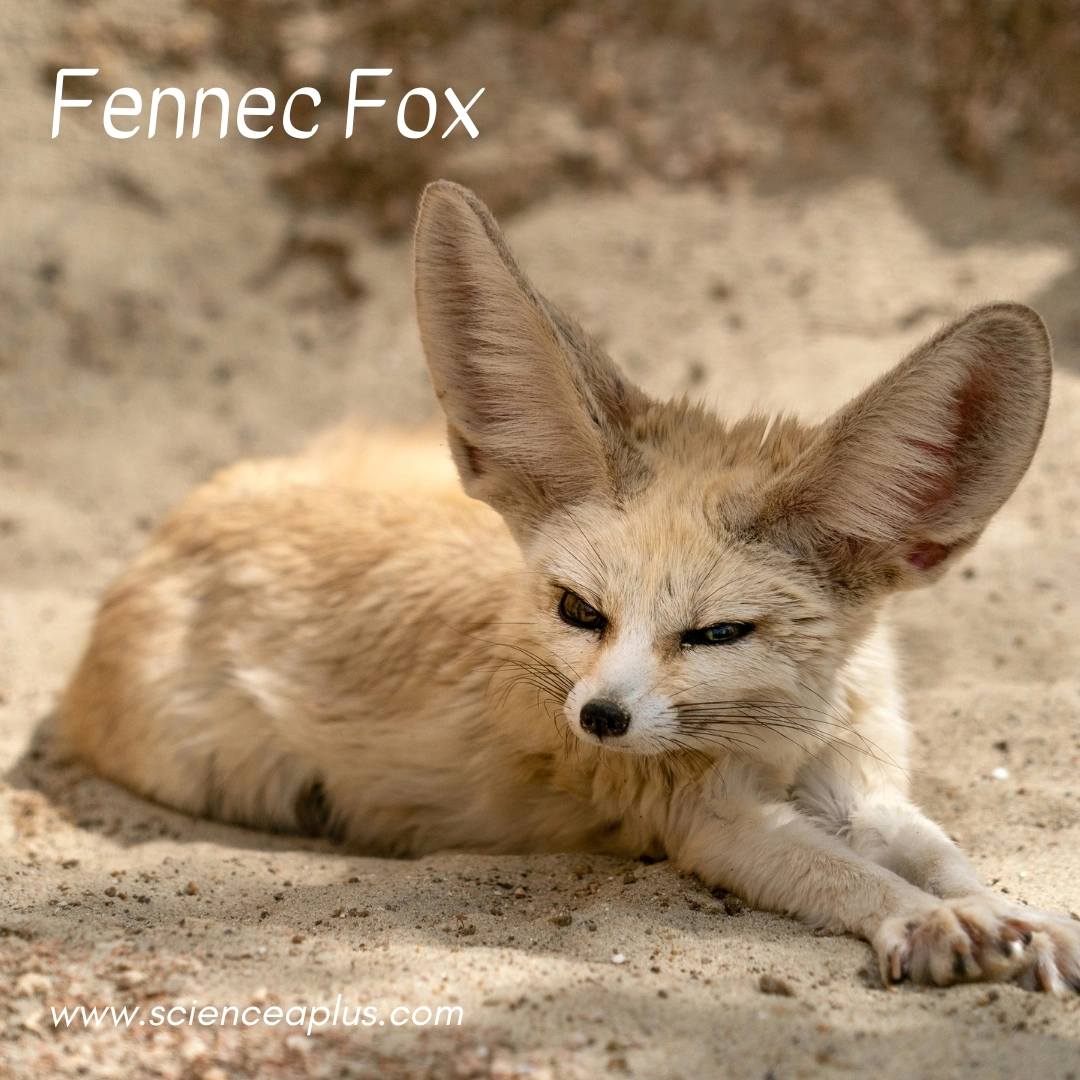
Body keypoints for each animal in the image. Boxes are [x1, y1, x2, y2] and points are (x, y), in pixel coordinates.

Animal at [59, 180, 1079, 993]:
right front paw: (928, 918)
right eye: (579, 612)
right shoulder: (708, 817)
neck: (788, 737)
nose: (600, 719)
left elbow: (939, 851)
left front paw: (1012, 912)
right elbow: (852, 876)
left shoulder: (863, 782)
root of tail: (192, 507)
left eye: (718, 634)